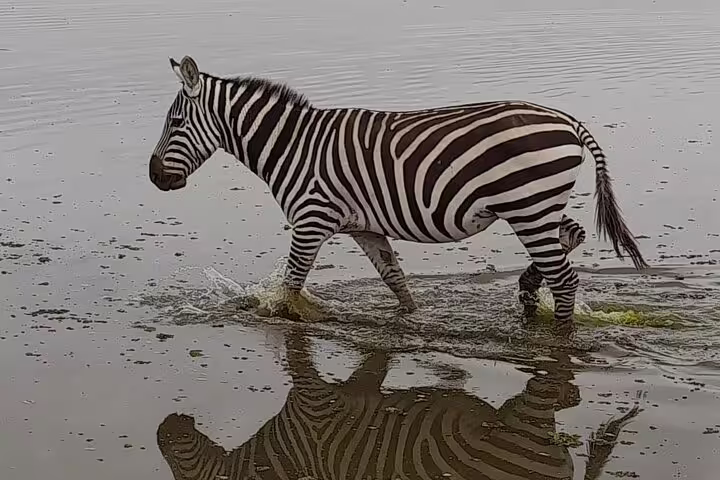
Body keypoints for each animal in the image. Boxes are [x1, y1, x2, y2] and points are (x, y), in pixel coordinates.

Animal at [148, 55, 649, 334]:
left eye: (176, 124)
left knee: (565, 278)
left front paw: (283, 316)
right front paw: (411, 319)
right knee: (572, 235)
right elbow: (395, 280)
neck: (293, 146)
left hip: (527, 205)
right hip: (538, 206)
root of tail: (568, 121)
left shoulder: (311, 220)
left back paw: (556, 334)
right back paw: (528, 289)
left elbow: (291, 287)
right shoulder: (363, 227)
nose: (153, 177)